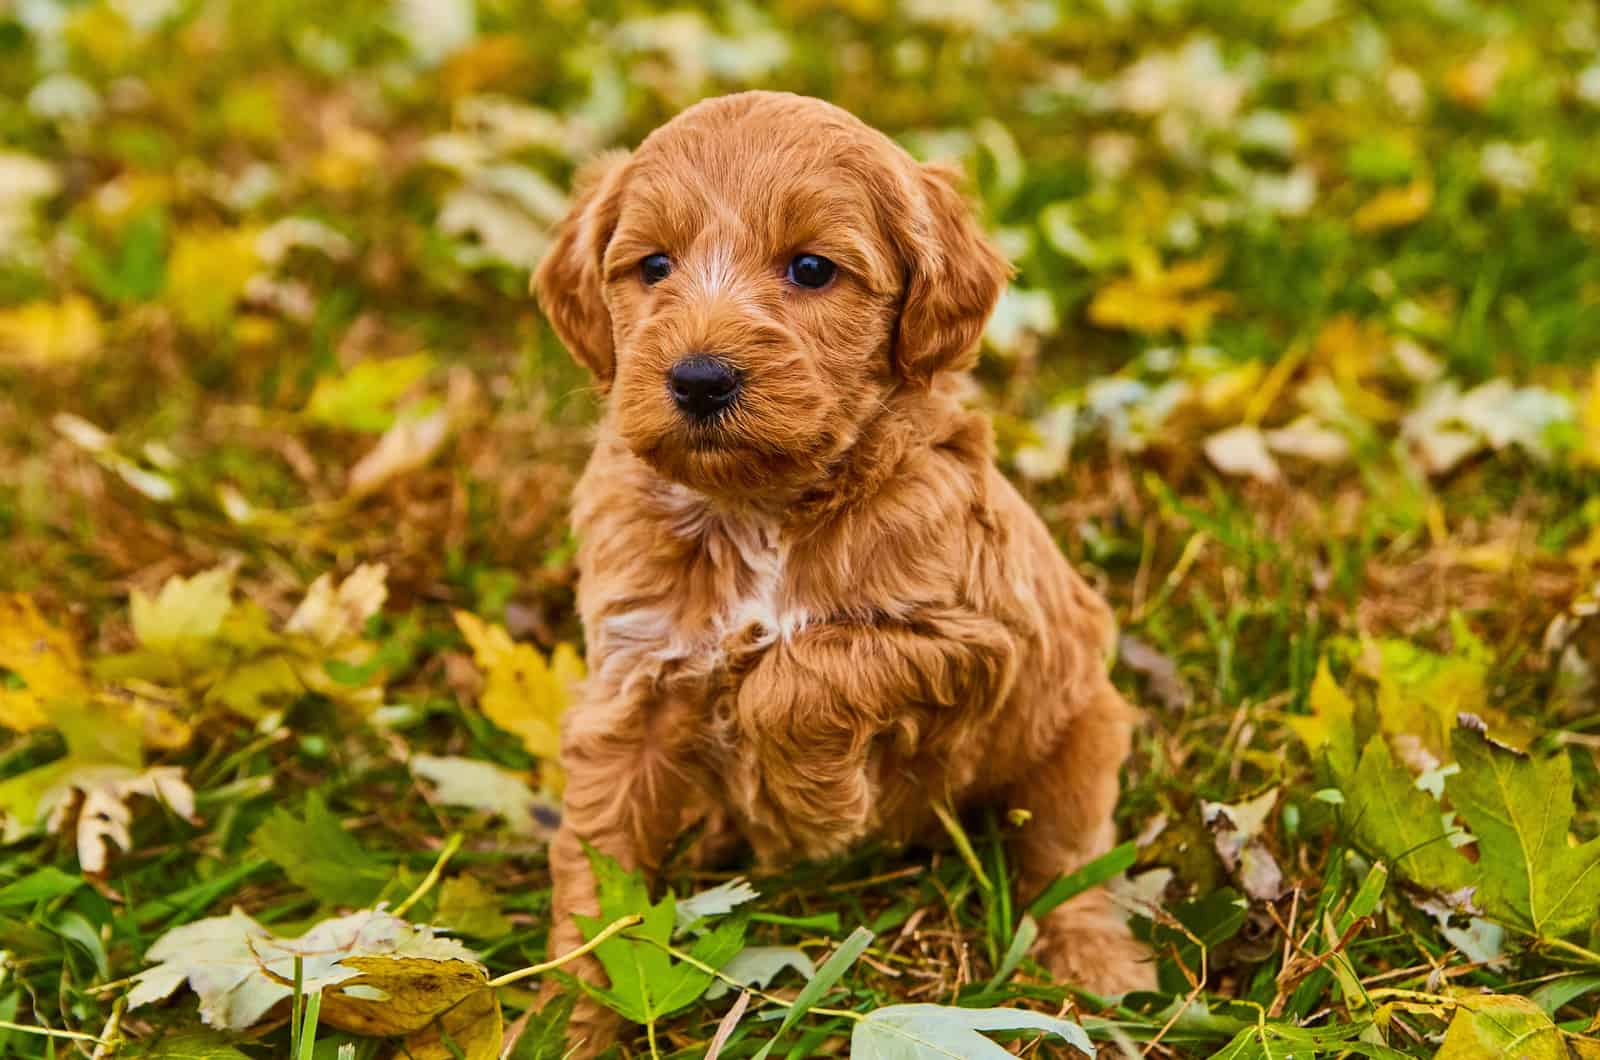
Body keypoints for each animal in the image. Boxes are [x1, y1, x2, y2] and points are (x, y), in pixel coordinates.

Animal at [537, 91, 1152, 1056]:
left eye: (812, 269)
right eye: (654, 265)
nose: (699, 378)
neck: (757, 510)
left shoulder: (979, 639)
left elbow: (800, 674)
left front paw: (813, 808)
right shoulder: (632, 683)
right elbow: (601, 869)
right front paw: (568, 1019)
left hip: (1077, 731)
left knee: (1069, 859)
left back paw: (1096, 966)